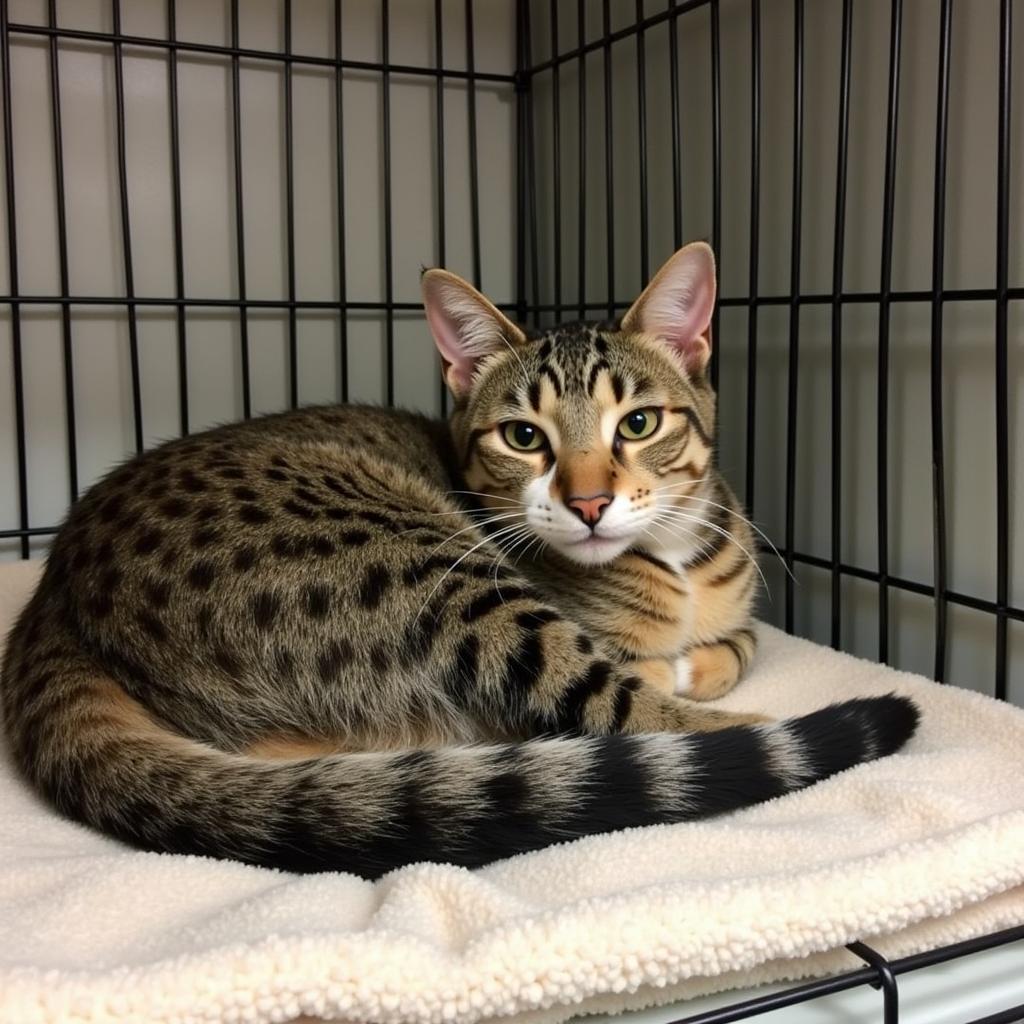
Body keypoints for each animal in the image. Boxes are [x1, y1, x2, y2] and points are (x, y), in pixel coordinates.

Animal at [0, 241, 921, 880]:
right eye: (522, 436)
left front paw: (704, 652)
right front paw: (675, 667)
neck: (675, 563)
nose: (589, 502)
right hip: (433, 572)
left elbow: (743, 641)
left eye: (638, 424)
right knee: (607, 713)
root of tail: (53, 598)